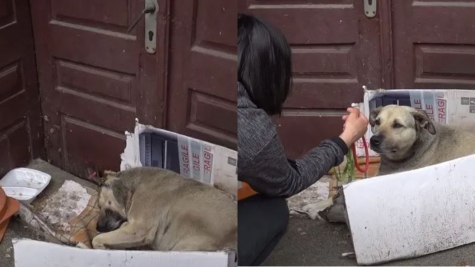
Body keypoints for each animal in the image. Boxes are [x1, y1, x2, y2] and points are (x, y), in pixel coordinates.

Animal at [82, 168, 238, 253]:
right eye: (98, 207)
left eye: (107, 209)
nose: (98, 227)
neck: (132, 188)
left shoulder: (139, 229)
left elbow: (96, 239)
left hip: (184, 247)